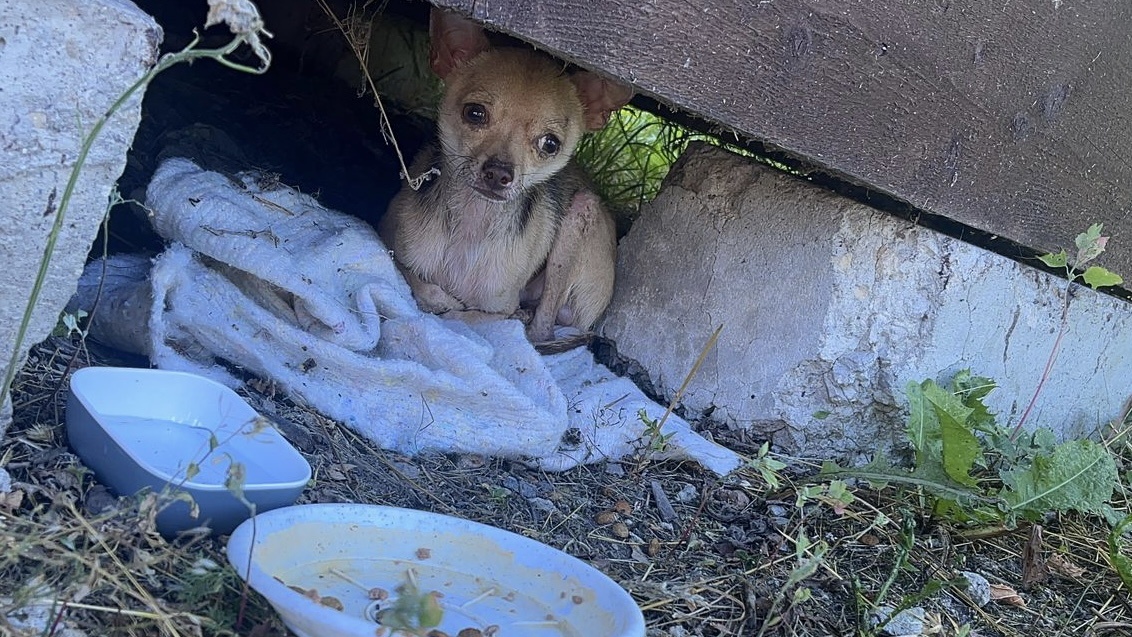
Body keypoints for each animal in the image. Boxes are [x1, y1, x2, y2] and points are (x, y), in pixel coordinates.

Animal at [378, 7, 629, 346]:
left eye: (550, 144)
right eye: (474, 113)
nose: (499, 173)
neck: (473, 223)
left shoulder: (498, 309)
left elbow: (466, 316)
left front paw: (454, 308)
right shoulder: (386, 239)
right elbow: (416, 280)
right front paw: (438, 296)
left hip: (581, 214)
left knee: (540, 330)